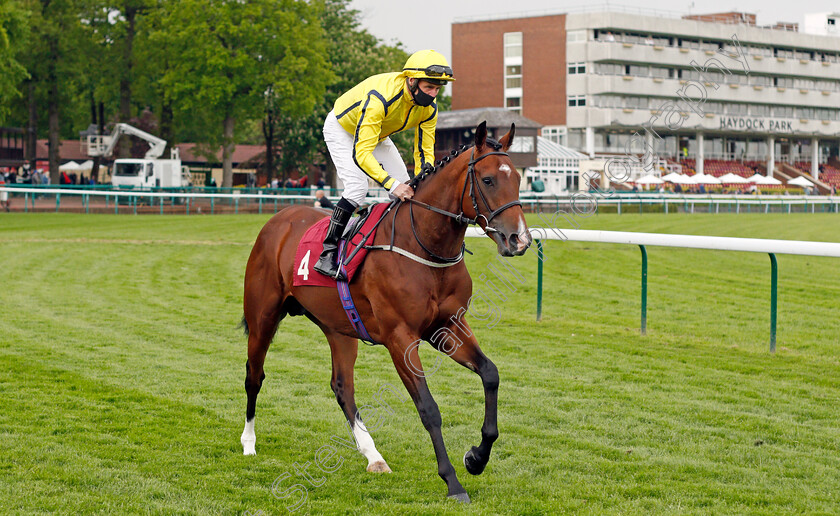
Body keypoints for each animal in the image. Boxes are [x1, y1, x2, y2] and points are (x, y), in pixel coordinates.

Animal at [243, 122, 532, 504]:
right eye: (487, 180)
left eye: (517, 178)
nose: (519, 239)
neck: (424, 245)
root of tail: (278, 219)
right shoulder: (400, 338)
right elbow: (428, 408)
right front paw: (453, 482)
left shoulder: (448, 326)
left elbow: (490, 374)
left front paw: (476, 457)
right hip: (262, 316)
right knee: (254, 375)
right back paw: (248, 443)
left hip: (339, 328)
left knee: (342, 387)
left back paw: (373, 456)